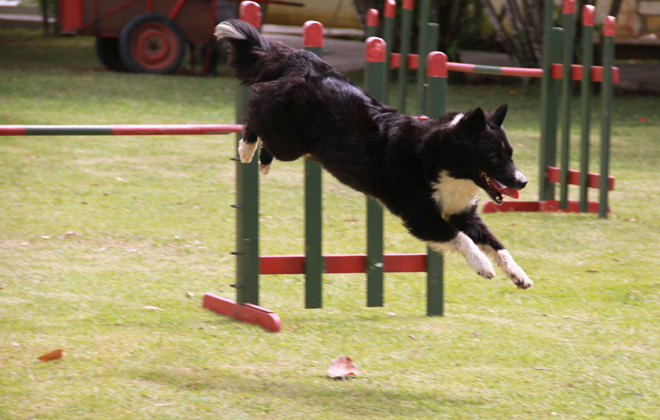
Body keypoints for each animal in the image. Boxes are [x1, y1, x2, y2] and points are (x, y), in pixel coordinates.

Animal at [219, 19, 532, 288]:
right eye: (494, 157)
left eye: (511, 155)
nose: (523, 182)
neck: (438, 160)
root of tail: (306, 61)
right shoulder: (421, 217)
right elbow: (464, 240)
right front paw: (483, 266)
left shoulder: (461, 212)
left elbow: (496, 244)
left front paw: (519, 274)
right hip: (289, 141)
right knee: (255, 112)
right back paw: (246, 149)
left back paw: (261, 161)